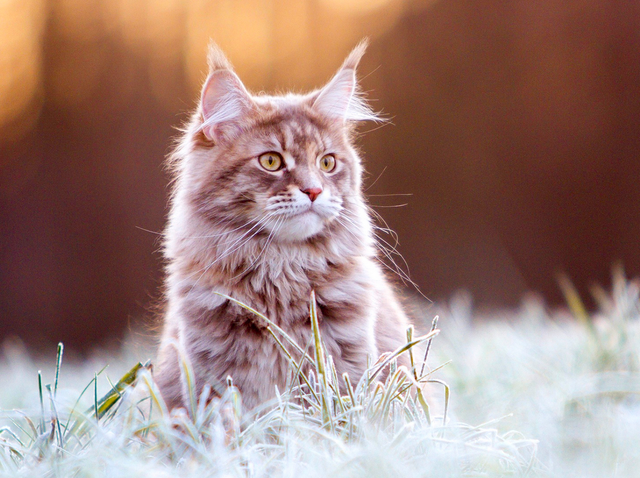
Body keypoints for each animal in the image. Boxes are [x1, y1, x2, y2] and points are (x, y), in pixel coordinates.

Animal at [158, 40, 412, 410]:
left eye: (327, 163)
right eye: (271, 161)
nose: (314, 190)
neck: (281, 266)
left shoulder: (347, 371)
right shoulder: (212, 380)